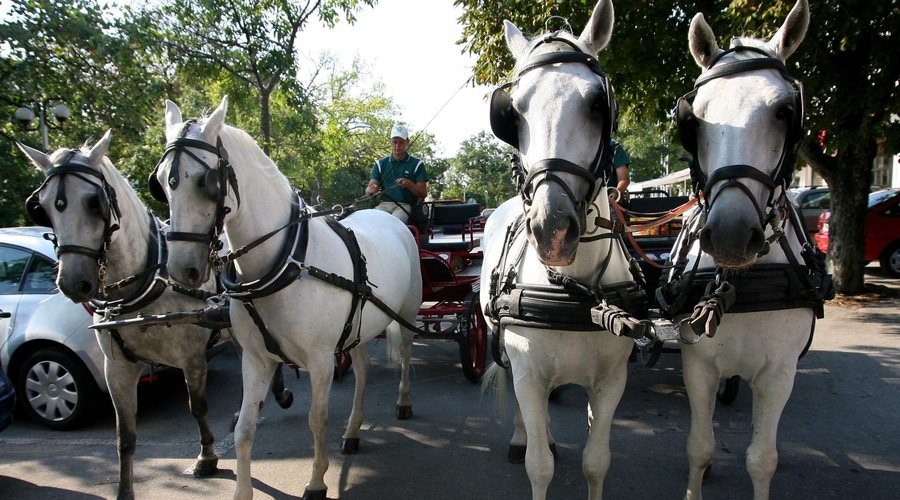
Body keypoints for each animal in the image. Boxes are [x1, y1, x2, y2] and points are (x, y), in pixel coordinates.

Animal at [19, 131, 227, 498]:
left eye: (94, 202)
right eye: (41, 207)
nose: (73, 283)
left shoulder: (192, 357)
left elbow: (197, 407)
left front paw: (206, 457)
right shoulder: (116, 368)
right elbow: (124, 436)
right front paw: (124, 490)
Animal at [152, 97, 422, 500]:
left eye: (205, 181)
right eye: (161, 185)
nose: (181, 268)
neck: (285, 261)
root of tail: (392, 218)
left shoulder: (322, 360)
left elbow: (317, 419)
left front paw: (316, 482)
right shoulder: (255, 358)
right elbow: (244, 429)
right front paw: (242, 491)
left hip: (405, 313)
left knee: (404, 355)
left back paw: (403, 402)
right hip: (358, 327)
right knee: (361, 370)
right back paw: (353, 431)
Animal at [482, 1, 652, 498]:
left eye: (598, 104)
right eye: (512, 112)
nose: (552, 228)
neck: (576, 290)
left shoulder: (612, 381)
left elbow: (597, 461)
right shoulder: (529, 374)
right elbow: (539, 467)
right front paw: (532, 448)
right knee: (530, 420)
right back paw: (523, 436)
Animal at [660, 1, 828, 498]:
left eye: (785, 111)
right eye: (694, 118)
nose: (732, 235)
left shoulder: (778, 376)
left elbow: (761, 459)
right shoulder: (697, 366)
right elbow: (699, 447)